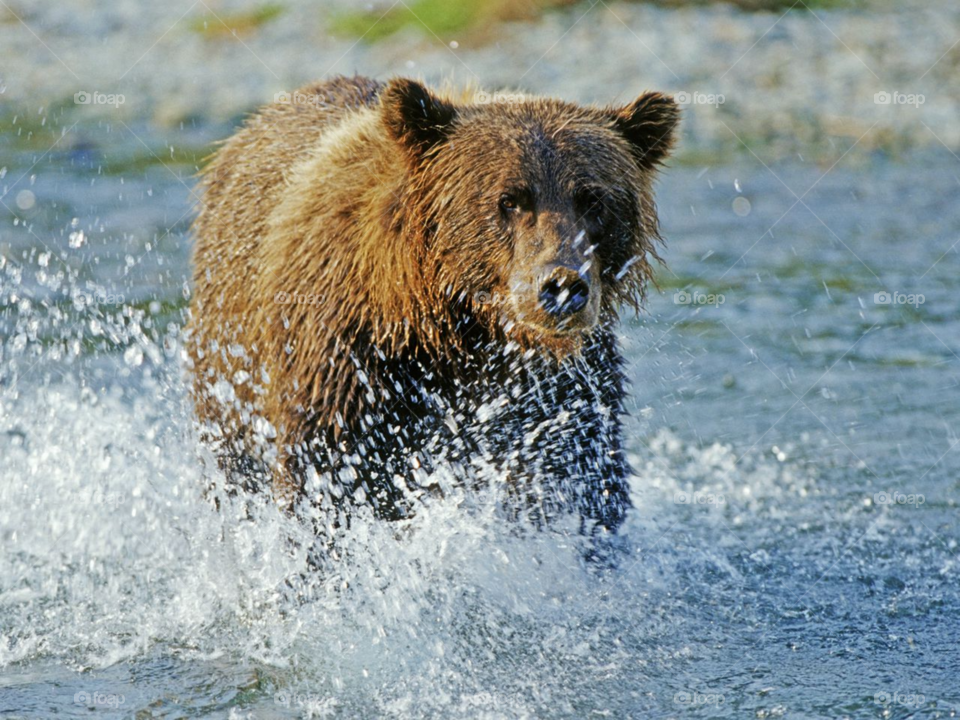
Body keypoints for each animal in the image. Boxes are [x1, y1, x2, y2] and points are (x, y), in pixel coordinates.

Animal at [186, 75, 678, 545]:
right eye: (510, 199)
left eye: (593, 200)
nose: (561, 286)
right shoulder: (348, 361)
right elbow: (329, 480)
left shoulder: (559, 392)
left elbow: (580, 479)